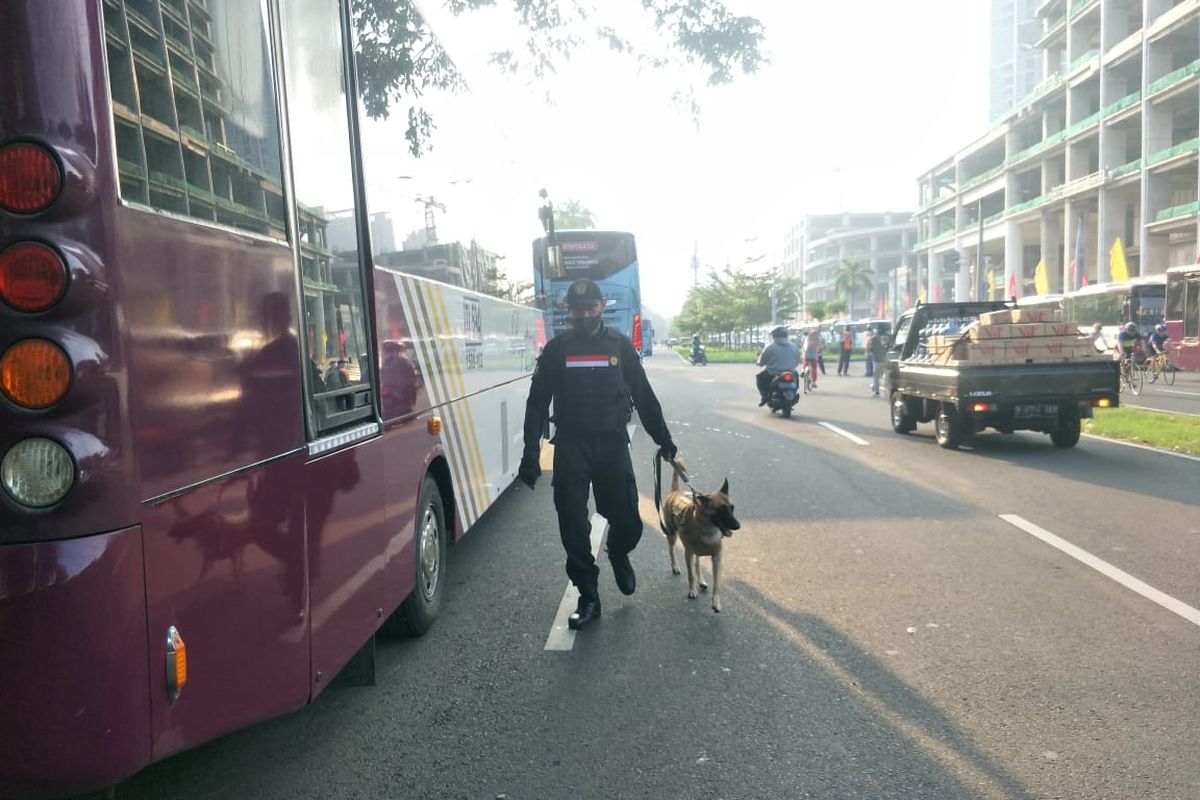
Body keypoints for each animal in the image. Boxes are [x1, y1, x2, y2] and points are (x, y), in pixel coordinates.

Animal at [657, 462, 739, 614]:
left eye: (732, 508)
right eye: (721, 509)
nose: (738, 525)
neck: (707, 529)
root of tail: (676, 492)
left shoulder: (717, 558)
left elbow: (716, 582)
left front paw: (716, 602)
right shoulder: (688, 553)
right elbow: (690, 575)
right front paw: (692, 590)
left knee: (698, 563)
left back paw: (701, 580)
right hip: (672, 535)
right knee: (672, 551)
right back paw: (675, 567)